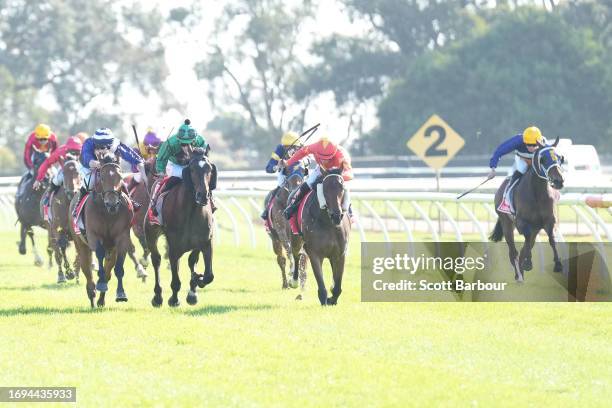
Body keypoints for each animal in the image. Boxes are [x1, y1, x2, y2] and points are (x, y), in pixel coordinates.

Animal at [72, 155, 136, 308]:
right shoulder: (94, 236)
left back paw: (100, 299)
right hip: (80, 244)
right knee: (87, 270)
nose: (112, 203)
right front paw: (100, 284)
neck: (107, 213)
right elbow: (99, 256)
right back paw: (92, 295)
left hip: (111, 248)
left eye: (120, 176)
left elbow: (117, 267)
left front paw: (121, 294)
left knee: (108, 270)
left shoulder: (122, 237)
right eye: (101, 177)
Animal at [146, 148, 215, 308]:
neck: (191, 211)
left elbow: (207, 274)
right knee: (156, 260)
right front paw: (174, 299)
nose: (203, 195)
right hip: (151, 233)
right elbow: (176, 279)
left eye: (209, 169)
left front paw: (195, 284)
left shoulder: (205, 242)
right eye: (192, 169)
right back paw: (157, 296)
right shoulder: (174, 246)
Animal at [300, 170, 352, 306]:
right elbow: (320, 281)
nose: (336, 215)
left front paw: (332, 299)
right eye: (325, 188)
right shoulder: (314, 253)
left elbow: (338, 284)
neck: (328, 223)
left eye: (341, 187)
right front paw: (324, 299)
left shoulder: (340, 254)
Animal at [490, 139, 568, 282]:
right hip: (507, 223)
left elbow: (551, 239)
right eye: (542, 159)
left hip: (535, 227)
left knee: (526, 246)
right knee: (513, 251)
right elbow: (526, 241)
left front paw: (558, 264)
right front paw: (526, 262)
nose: (558, 181)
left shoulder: (549, 221)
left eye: (560, 158)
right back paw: (518, 273)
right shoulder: (522, 223)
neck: (537, 193)